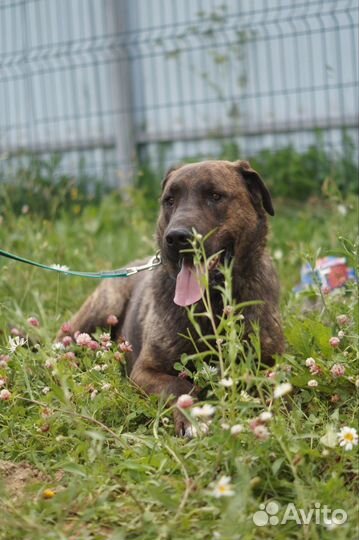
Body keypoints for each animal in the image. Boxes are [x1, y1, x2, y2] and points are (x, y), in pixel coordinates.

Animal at [57, 159, 286, 434]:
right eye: (169, 200)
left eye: (215, 196)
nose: (176, 237)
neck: (211, 305)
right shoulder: (144, 370)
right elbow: (179, 386)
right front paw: (193, 419)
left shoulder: (273, 362)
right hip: (101, 310)